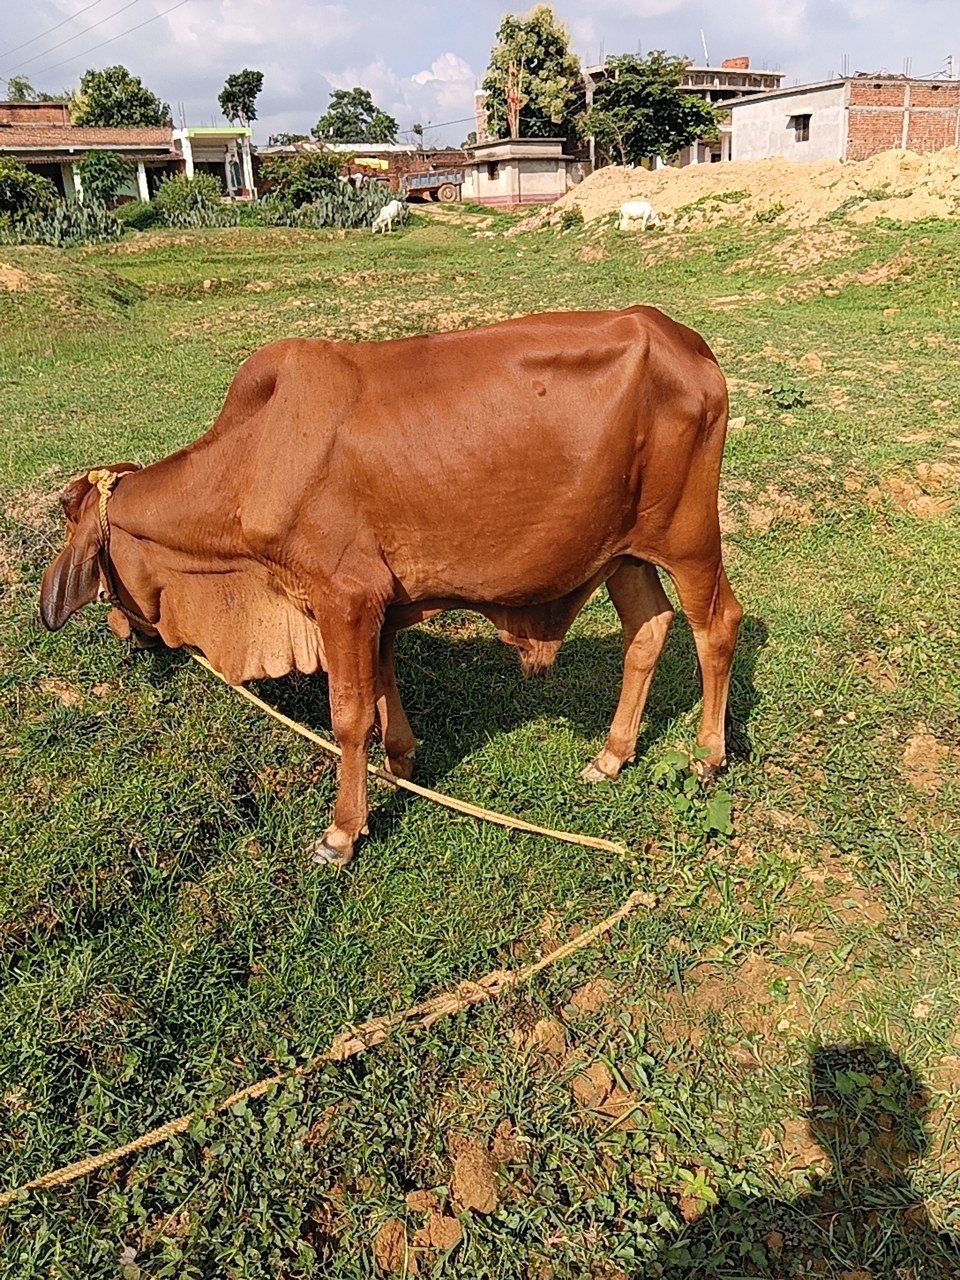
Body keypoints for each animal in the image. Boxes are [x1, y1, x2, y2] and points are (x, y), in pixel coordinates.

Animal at [39, 307, 742, 868]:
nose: (120, 630)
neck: (252, 460)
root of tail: (685, 340)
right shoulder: (375, 604)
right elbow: (382, 689)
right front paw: (399, 765)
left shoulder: (343, 597)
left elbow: (349, 714)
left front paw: (342, 832)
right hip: (624, 553)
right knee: (647, 630)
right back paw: (612, 755)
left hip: (688, 537)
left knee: (717, 625)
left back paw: (707, 755)